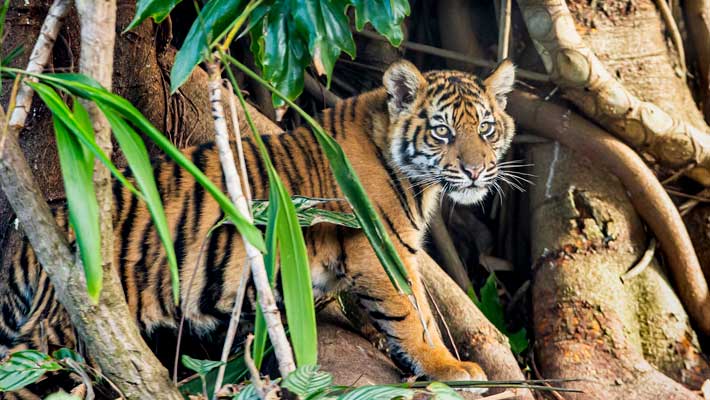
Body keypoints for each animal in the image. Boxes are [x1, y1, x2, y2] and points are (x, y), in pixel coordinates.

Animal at [0, 59, 516, 393]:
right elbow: (414, 316)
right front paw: (449, 367)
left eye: (485, 129)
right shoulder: (380, 250)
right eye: (443, 132)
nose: (475, 171)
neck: (415, 181)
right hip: (60, 334)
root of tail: (23, 240)